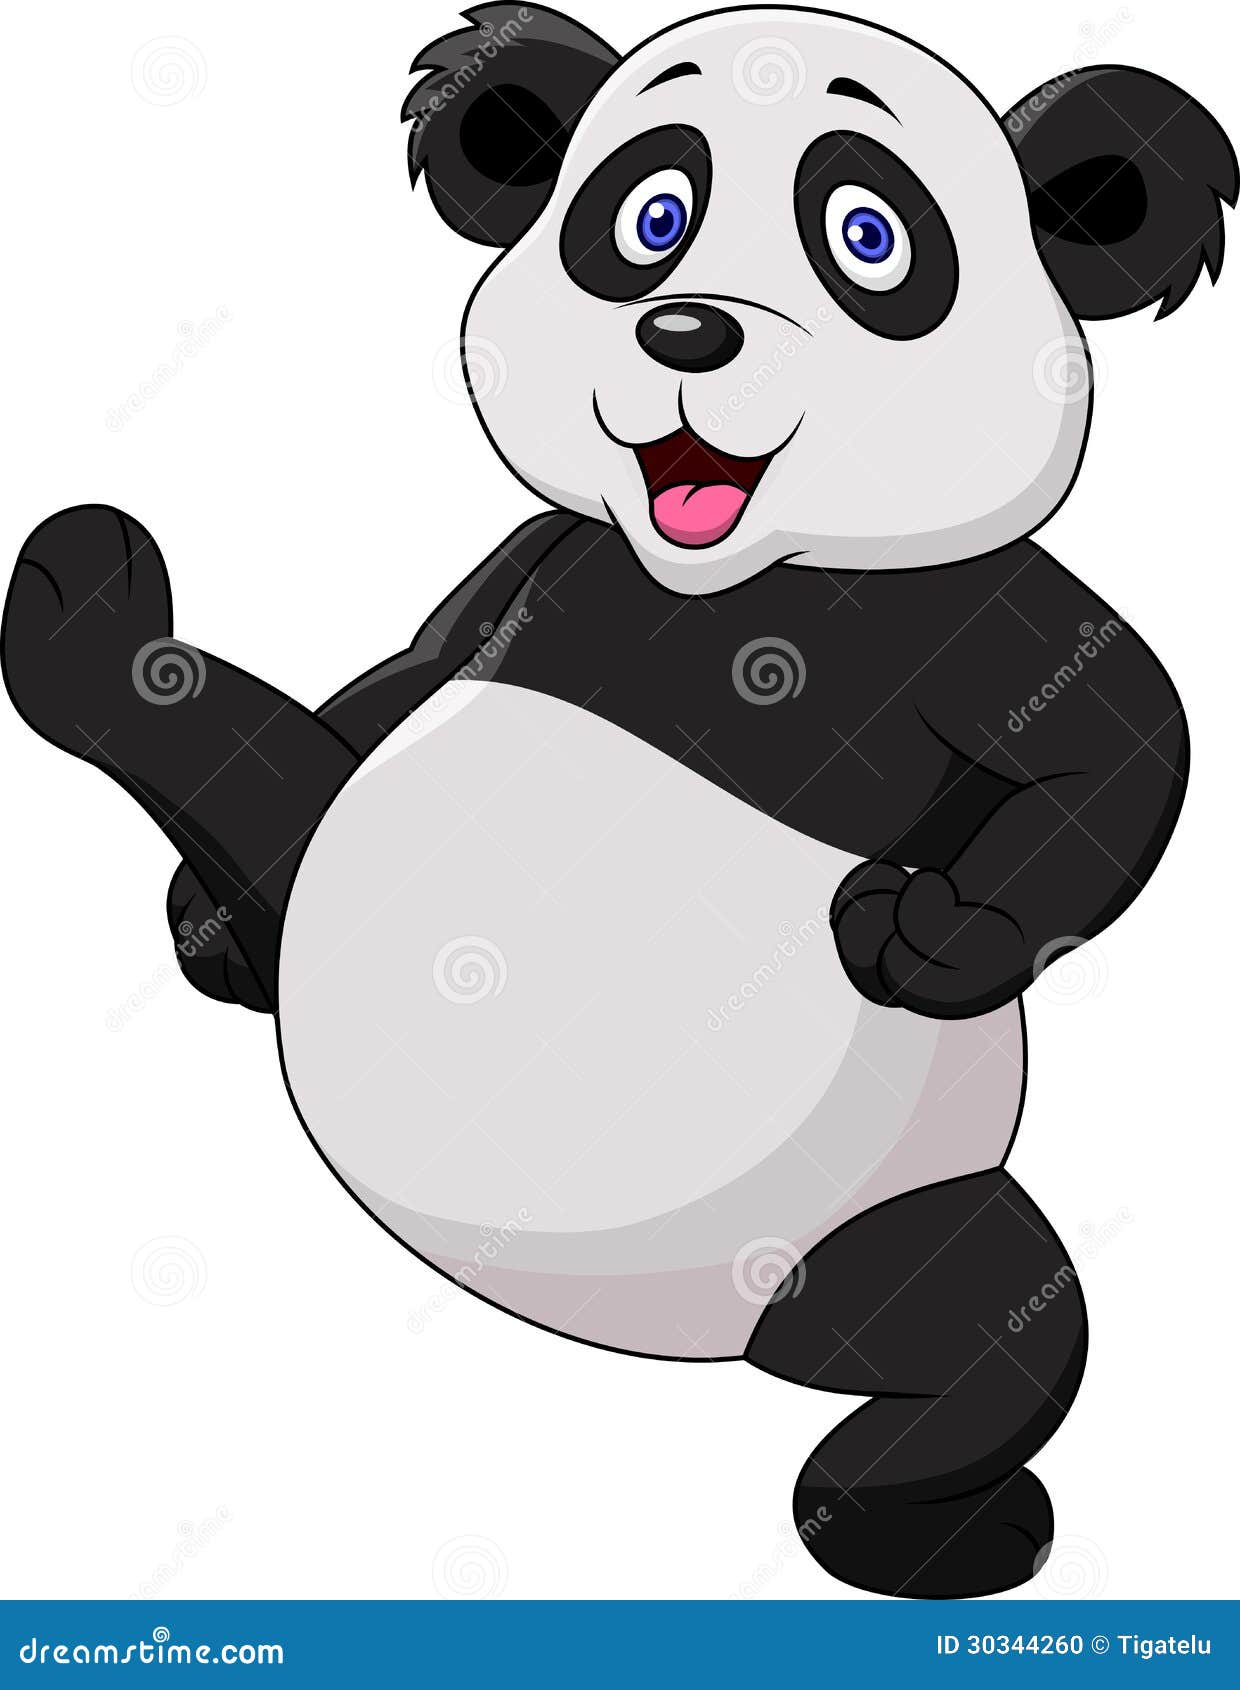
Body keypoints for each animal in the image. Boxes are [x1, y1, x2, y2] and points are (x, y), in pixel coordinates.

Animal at [4, 5, 1234, 1599]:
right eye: (651, 214)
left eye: (869, 234)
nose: (688, 330)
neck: (725, 582)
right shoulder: (547, 558)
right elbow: (414, 668)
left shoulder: (974, 617)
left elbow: (1116, 753)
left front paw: (927, 930)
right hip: (325, 885)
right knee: (272, 787)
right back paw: (100, 647)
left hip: (873, 1231)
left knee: (998, 1327)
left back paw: (929, 1518)